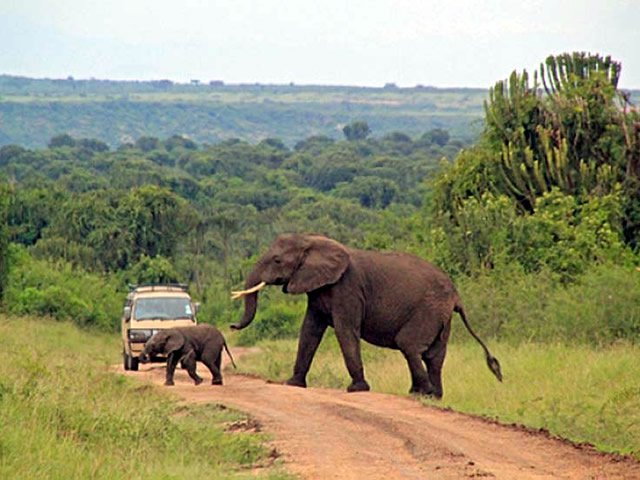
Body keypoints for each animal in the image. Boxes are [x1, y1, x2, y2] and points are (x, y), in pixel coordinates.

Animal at [230, 233, 500, 398]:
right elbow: (309, 330)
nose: (231, 326)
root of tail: (456, 295)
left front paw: (357, 389)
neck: (313, 241)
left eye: (277, 260)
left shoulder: (347, 288)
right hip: (441, 316)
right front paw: (292, 384)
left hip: (429, 310)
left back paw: (422, 393)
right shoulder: (317, 290)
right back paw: (432, 396)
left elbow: (345, 330)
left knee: (410, 345)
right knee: (434, 354)